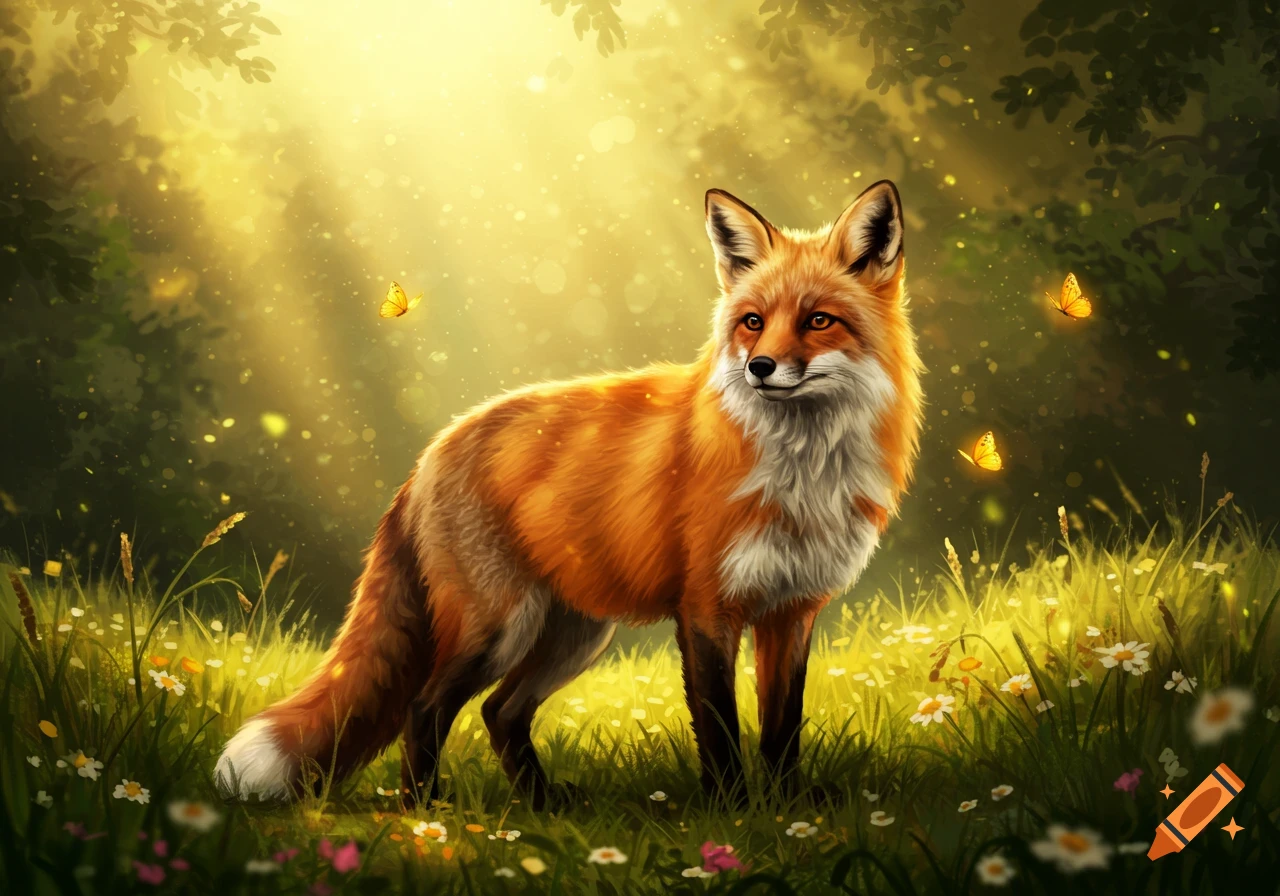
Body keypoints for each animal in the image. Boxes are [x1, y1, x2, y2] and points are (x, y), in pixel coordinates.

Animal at [214, 180, 923, 807]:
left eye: (818, 321)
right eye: (753, 322)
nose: (760, 369)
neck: (800, 475)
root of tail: (433, 448)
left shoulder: (791, 611)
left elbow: (782, 732)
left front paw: (785, 814)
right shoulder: (706, 610)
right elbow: (721, 732)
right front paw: (736, 815)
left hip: (573, 635)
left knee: (500, 712)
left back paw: (539, 806)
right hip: (499, 627)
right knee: (426, 705)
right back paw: (424, 812)